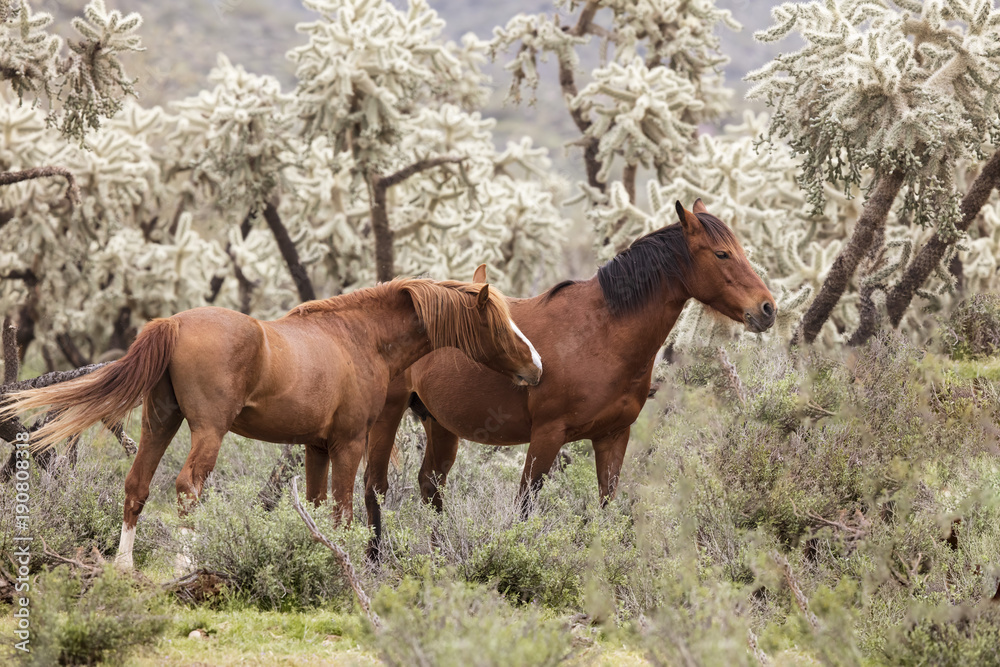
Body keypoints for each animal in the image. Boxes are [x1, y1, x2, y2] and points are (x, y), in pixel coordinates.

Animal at [0, 279, 542, 569]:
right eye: (498, 321)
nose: (537, 366)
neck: (357, 338)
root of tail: (173, 323)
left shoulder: (316, 447)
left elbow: (318, 504)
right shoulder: (348, 443)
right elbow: (343, 509)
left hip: (160, 423)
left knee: (137, 485)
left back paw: (124, 563)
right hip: (208, 432)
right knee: (187, 486)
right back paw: (185, 563)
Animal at [363, 200, 776, 557]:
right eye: (721, 254)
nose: (767, 308)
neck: (600, 333)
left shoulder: (613, 436)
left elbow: (606, 504)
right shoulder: (547, 435)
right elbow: (525, 504)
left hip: (440, 424)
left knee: (430, 485)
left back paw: (439, 552)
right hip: (388, 415)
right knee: (375, 486)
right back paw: (373, 560)